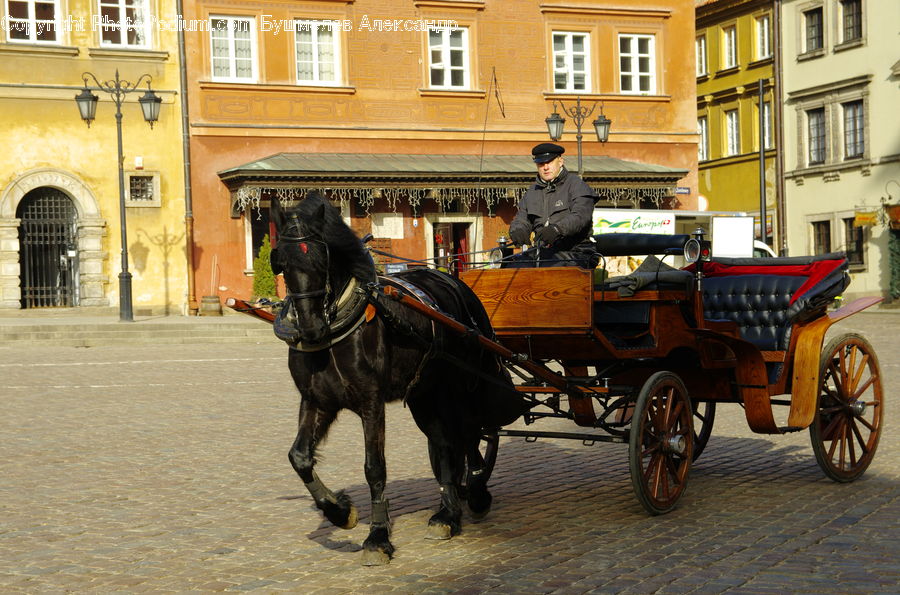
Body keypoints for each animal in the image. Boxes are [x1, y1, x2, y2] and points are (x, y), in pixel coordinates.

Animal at [268, 191, 526, 565]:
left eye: (322, 260)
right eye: (282, 264)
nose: (312, 328)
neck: (337, 333)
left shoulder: (371, 403)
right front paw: (340, 512)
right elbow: (299, 458)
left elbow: (375, 468)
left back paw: (475, 494)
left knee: (470, 434)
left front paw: (377, 536)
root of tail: (452, 279)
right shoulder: (318, 400)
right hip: (424, 395)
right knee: (446, 443)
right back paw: (448, 513)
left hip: (461, 386)